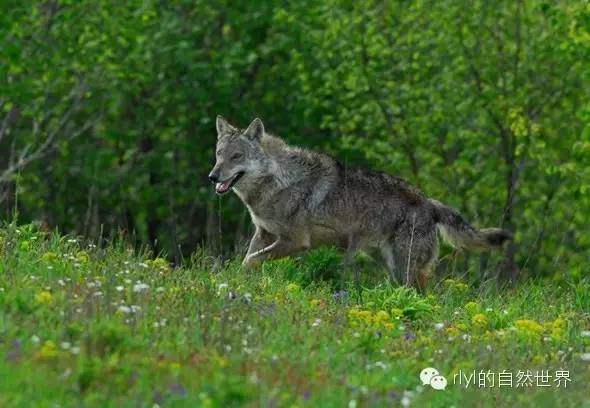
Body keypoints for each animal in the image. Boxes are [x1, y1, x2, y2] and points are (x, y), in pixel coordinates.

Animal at [209, 116, 512, 288]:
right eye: (219, 154)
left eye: (236, 156)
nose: (212, 176)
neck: (278, 182)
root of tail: (429, 202)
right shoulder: (264, 233)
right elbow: (247, 259)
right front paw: (234, 284)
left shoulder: (295, 241)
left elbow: (252, 260)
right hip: (389, 266)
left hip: (404, 269)